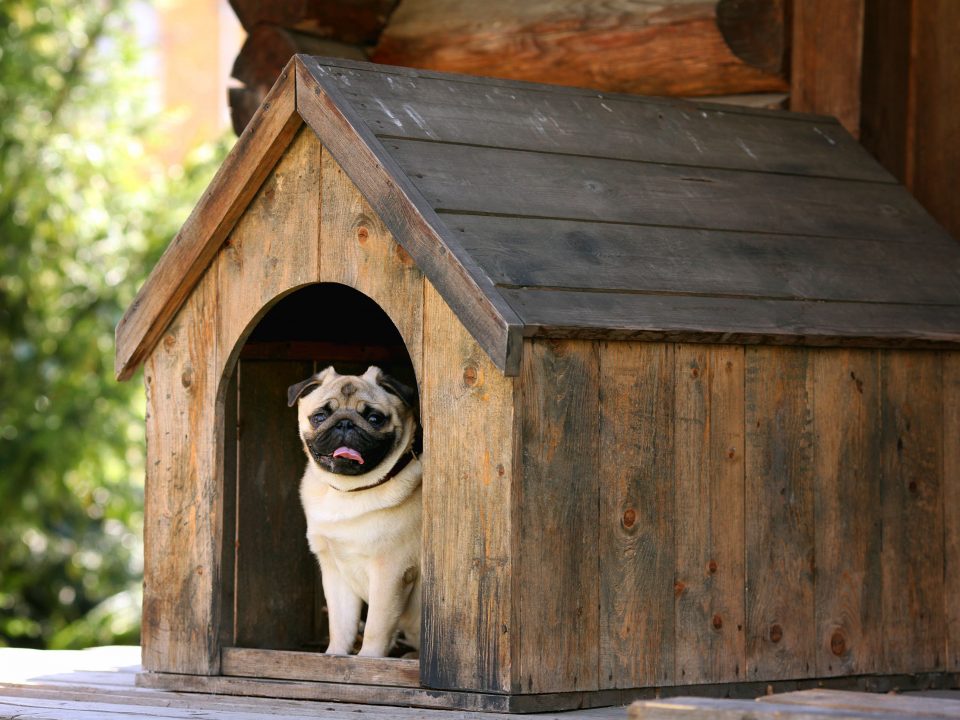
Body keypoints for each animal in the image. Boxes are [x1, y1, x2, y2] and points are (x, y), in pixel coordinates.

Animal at [284, 368, 420, 656]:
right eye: (320, 417)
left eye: (374, 418)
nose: (345, 423)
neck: (349, 491)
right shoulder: (335, 572)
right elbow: (341, 625)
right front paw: (335, 656)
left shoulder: (390, 573)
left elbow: (376, 629)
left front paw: (368, 660)